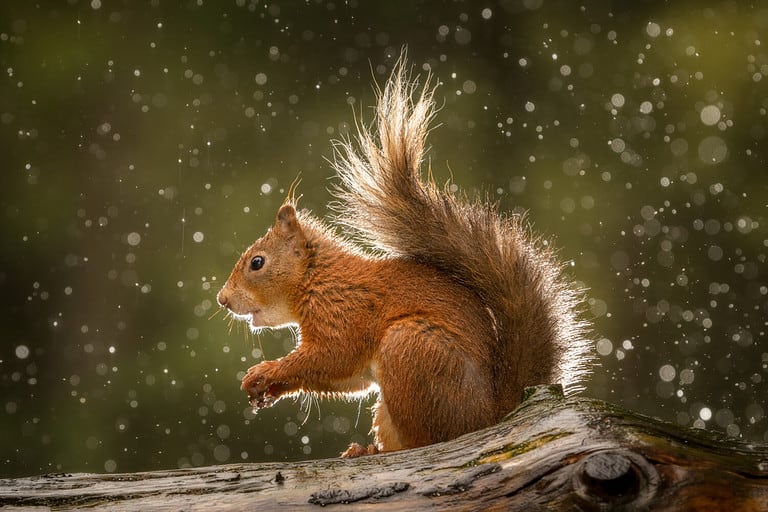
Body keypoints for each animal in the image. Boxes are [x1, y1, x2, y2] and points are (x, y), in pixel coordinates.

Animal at [217, 59, 592, 457]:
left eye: (257, 262)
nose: (222, 300)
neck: (318, 279)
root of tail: (489, 415)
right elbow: (347, 379)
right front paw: (267, 390)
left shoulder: (343, 317)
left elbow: (330, 359)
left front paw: (265, 373)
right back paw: (365, 450)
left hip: (411, 349)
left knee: (427, 440)